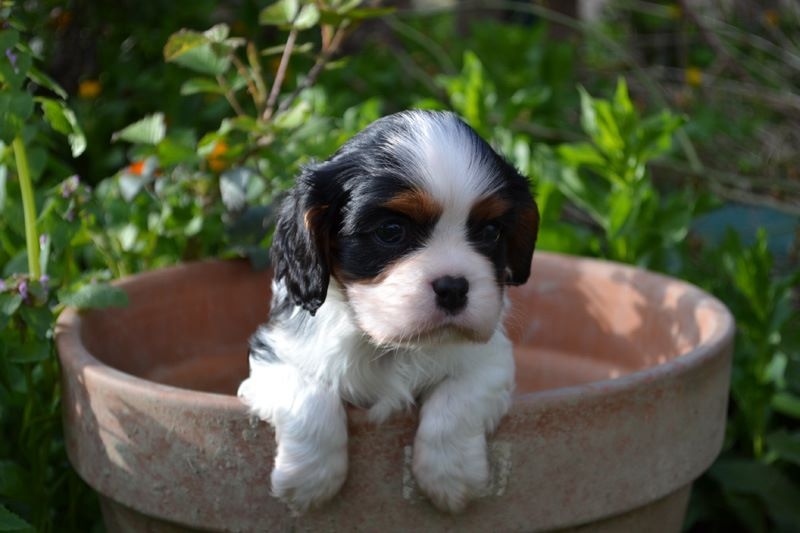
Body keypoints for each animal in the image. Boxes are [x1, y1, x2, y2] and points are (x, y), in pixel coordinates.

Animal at [238, 110, 536, 512]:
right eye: (391, 230)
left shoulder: (492, 359)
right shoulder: (275, 351)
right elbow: (310, 398)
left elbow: (458, 399)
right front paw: (309, 479)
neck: (388, 345)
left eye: (491, 232)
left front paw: (450, 476)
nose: (454, 287)